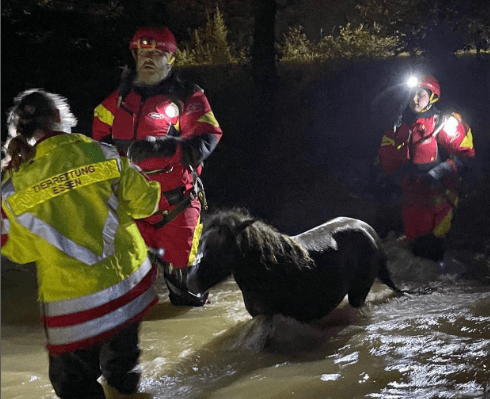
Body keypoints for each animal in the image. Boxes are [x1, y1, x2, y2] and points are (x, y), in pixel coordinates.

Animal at [188, 208, 402, 324]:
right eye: (201, 243)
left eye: (221, 247)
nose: (191, 282)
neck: (266, 270)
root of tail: (369, 230)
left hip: (359, 292)